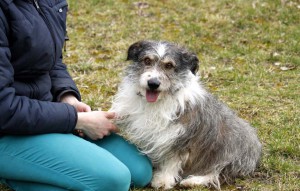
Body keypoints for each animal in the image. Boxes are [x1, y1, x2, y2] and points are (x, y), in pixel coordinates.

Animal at [109, 40, 260, 190]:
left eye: (169, 65)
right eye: (147, 60)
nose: (153, 83)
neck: (156, 102)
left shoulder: (180, 137)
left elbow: (173, 160)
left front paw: (164, 179)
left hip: (228, 151)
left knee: (215, 174)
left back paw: (192, 181)